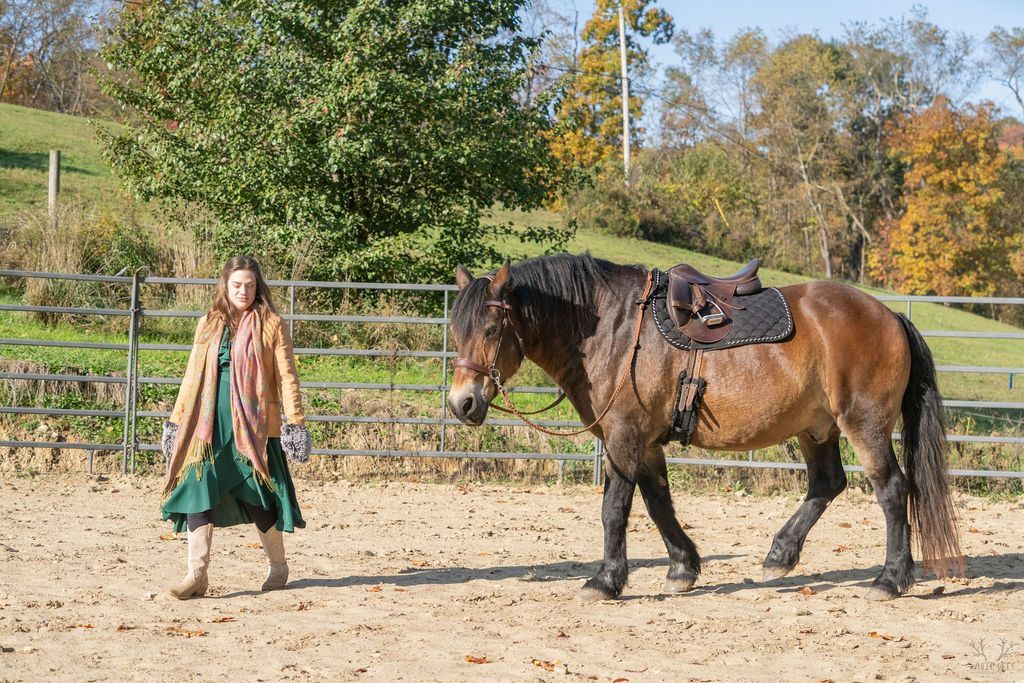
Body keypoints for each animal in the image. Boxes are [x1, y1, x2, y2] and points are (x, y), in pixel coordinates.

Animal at [446, 253, 963, 602]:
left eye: (491, 330)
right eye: (455, 330)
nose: (461, 403)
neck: (614, 328)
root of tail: (888, 316)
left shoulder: (623, 437)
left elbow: (615, 510)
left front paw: (606, 580)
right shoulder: (646, 442)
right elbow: (658, 504)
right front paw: (682, 568)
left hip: (863, 425)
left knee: (892, 490)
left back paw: (890, 579)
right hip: (815, 428)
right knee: (827, 483)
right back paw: (780, 556)